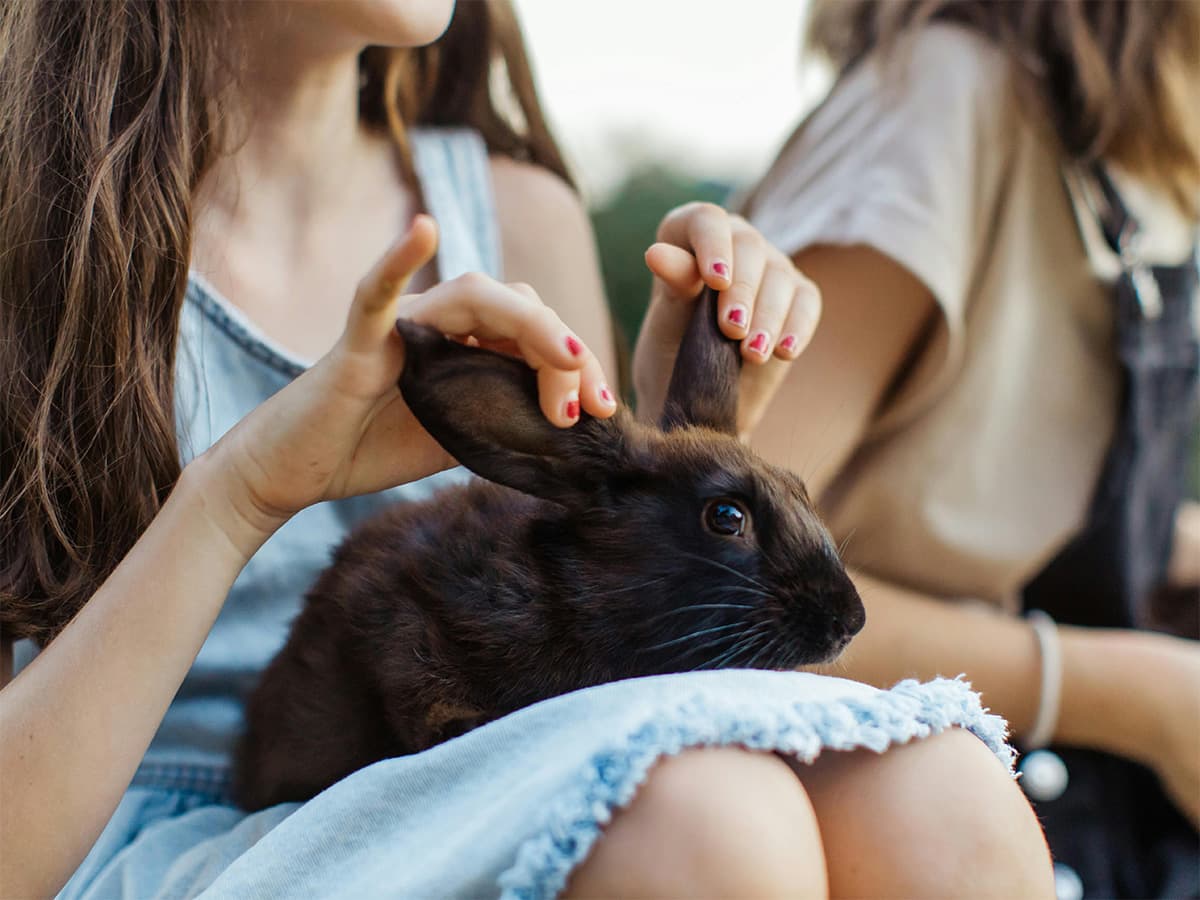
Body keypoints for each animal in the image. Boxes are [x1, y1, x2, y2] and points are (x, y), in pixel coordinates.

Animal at [233, 289, 865, 811]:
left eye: (801, 490)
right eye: (727, 517)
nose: (849, 620)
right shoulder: (397, 627)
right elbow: (418, 696)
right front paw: (467, 725)